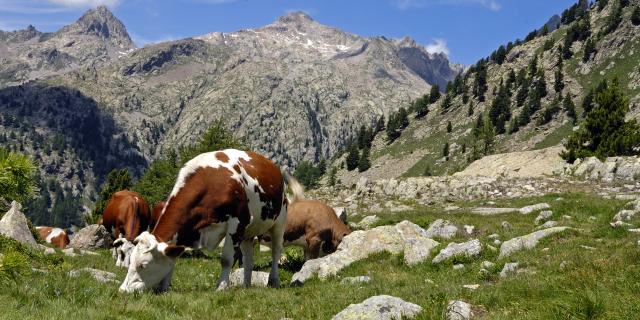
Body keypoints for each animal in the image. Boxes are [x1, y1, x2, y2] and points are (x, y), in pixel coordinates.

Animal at [118, 149, 288, 294]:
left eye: (143, 265)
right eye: (130, 260)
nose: (122, 290)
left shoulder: (237, 222)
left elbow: (226, 259)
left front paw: (221, 287)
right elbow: (173, 259)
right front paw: (164, 287)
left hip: (279, 221)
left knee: (276, 251)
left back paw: (273, 280)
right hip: (249, 230)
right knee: (248, 256)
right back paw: (246, 283)